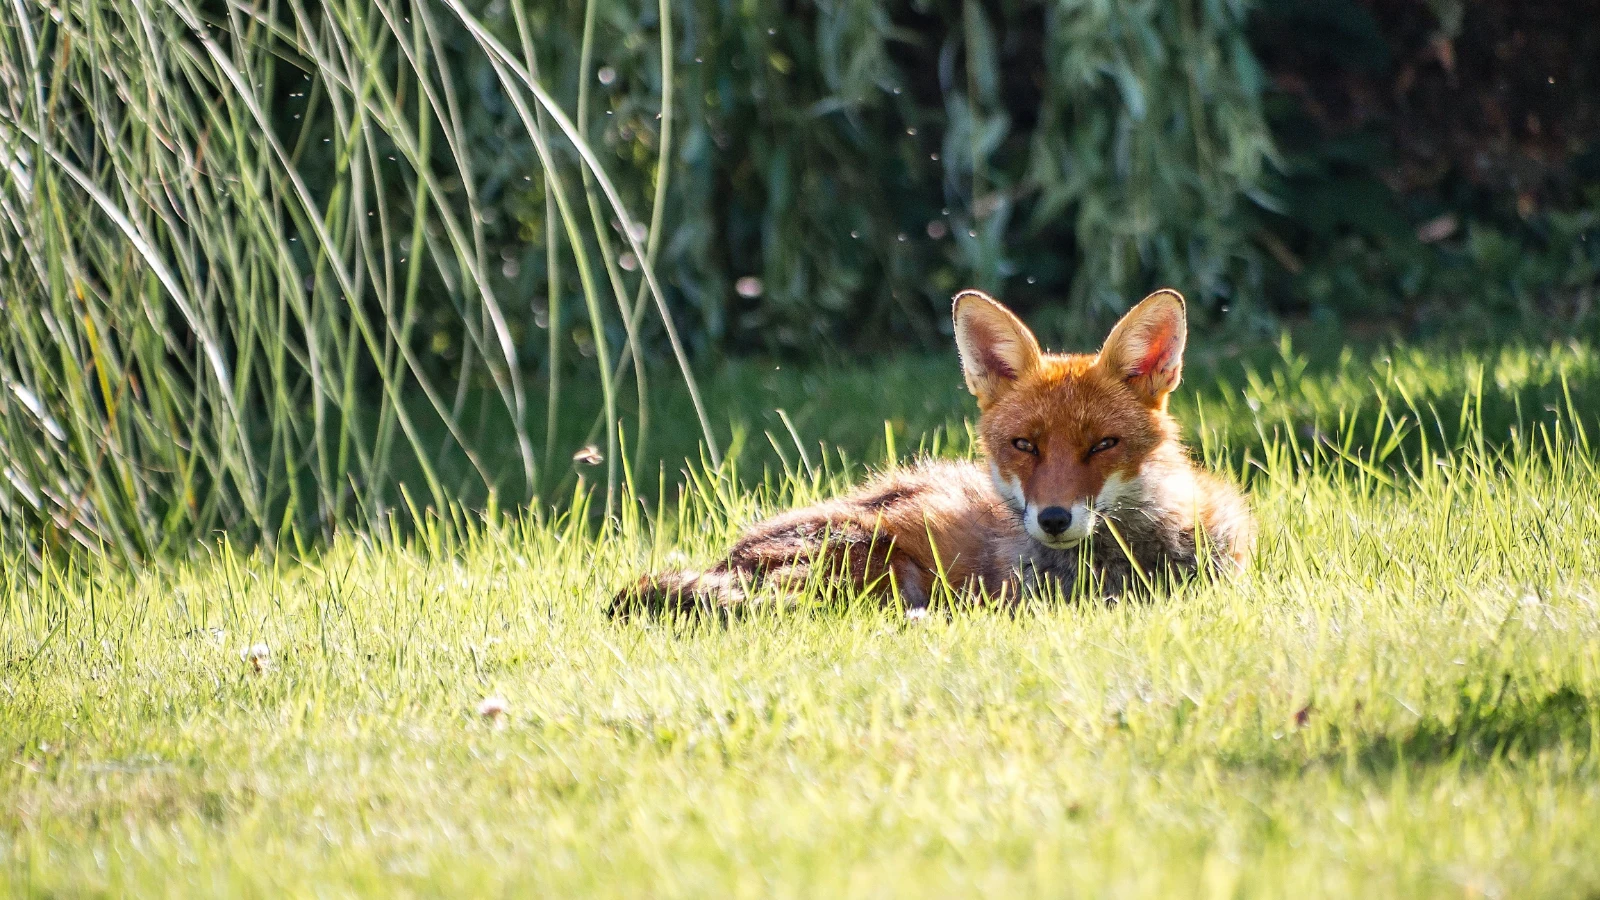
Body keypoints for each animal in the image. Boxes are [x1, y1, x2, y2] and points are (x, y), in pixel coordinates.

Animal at [610, 288, 1253, 616]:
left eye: (1103, 445)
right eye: (1024, 446)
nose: (1053, 519)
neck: (1132, 562)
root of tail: (727, 557)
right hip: (882, 559)